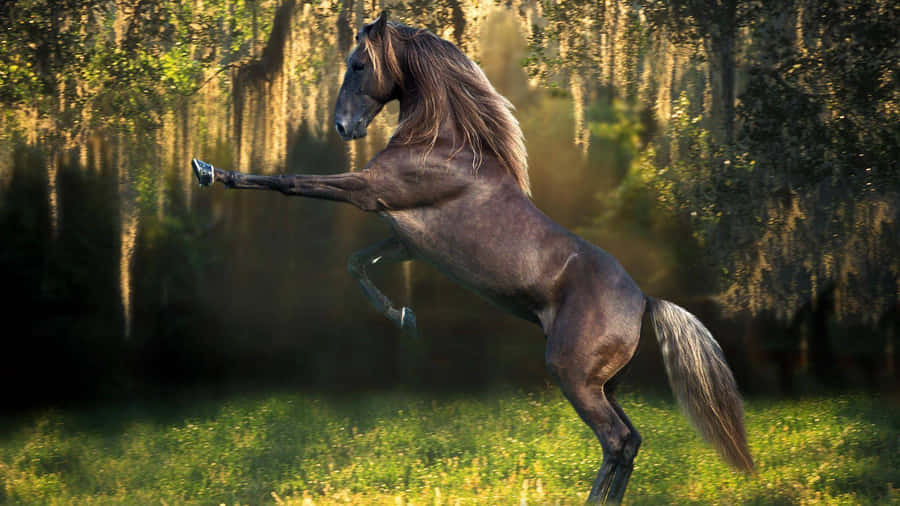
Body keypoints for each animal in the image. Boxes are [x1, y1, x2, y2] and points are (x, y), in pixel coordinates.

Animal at [190, 11, 753, 503]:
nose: (343, 126)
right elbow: (357, 262)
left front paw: (209, 171)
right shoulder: (405, 240)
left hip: (574, 376)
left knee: (616, 441)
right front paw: (405, 317)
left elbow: (290, 181)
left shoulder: (369, 192)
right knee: (630, 442)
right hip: (605, 384)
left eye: (358, 64)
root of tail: (645, 302)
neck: (442, 144)